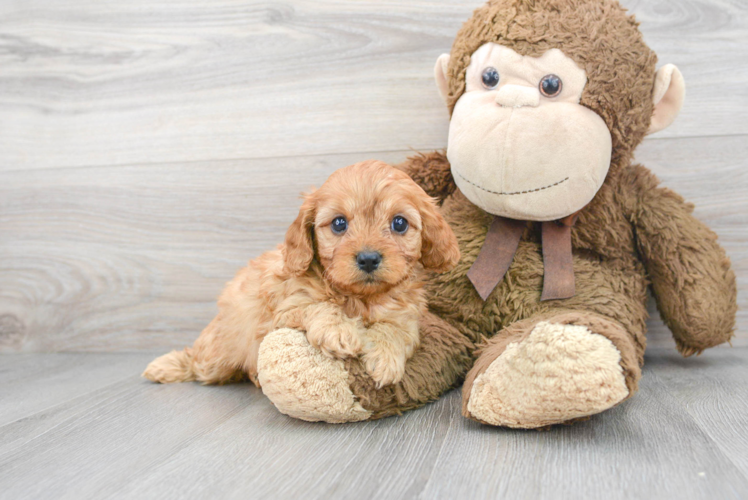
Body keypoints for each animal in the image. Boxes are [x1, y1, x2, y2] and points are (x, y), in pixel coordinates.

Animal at [142, 162, 458, 388]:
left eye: (399, 223)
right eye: (339, 223)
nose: (368, 258)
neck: (360, 298)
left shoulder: (406, 319)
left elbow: (395, 330)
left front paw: (385, 357)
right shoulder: (284, 310)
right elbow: (318, 305)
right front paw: (339, 330)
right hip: (218, 353)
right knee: (197, 360)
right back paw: (165, 366)